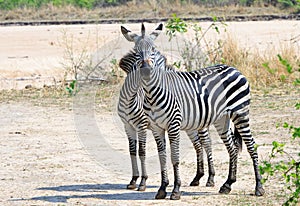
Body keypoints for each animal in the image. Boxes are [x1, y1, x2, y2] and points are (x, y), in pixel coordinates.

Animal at [116, 49, 216, 191]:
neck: (129, 99)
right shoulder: (128, 126)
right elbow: (132, 151)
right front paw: (133, 180)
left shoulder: (141, 125)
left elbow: (141, 151)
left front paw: (143, 182)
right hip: (190, 126)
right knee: (197, 144)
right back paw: (197, 178)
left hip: (200, 124)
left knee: (207, 143)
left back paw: (210, 178)